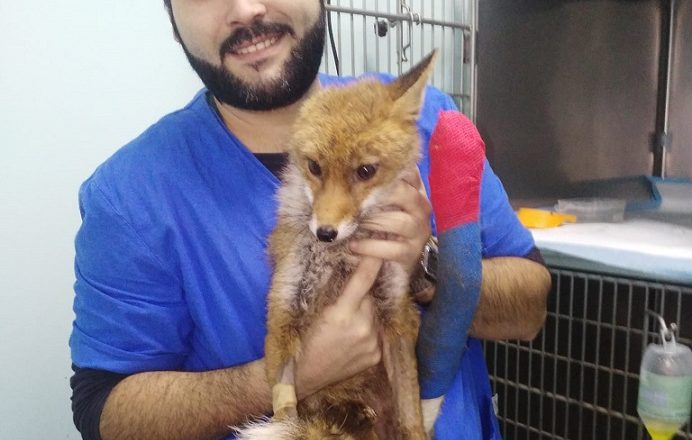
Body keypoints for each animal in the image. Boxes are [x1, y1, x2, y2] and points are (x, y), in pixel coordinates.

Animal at [236, 52, 439, 440]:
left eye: (365, 171)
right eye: (314, 167)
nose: (325, 232)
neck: (341, 260)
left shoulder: (395, 313)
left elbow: (410, 412)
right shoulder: (284, 310)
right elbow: (285, 407)